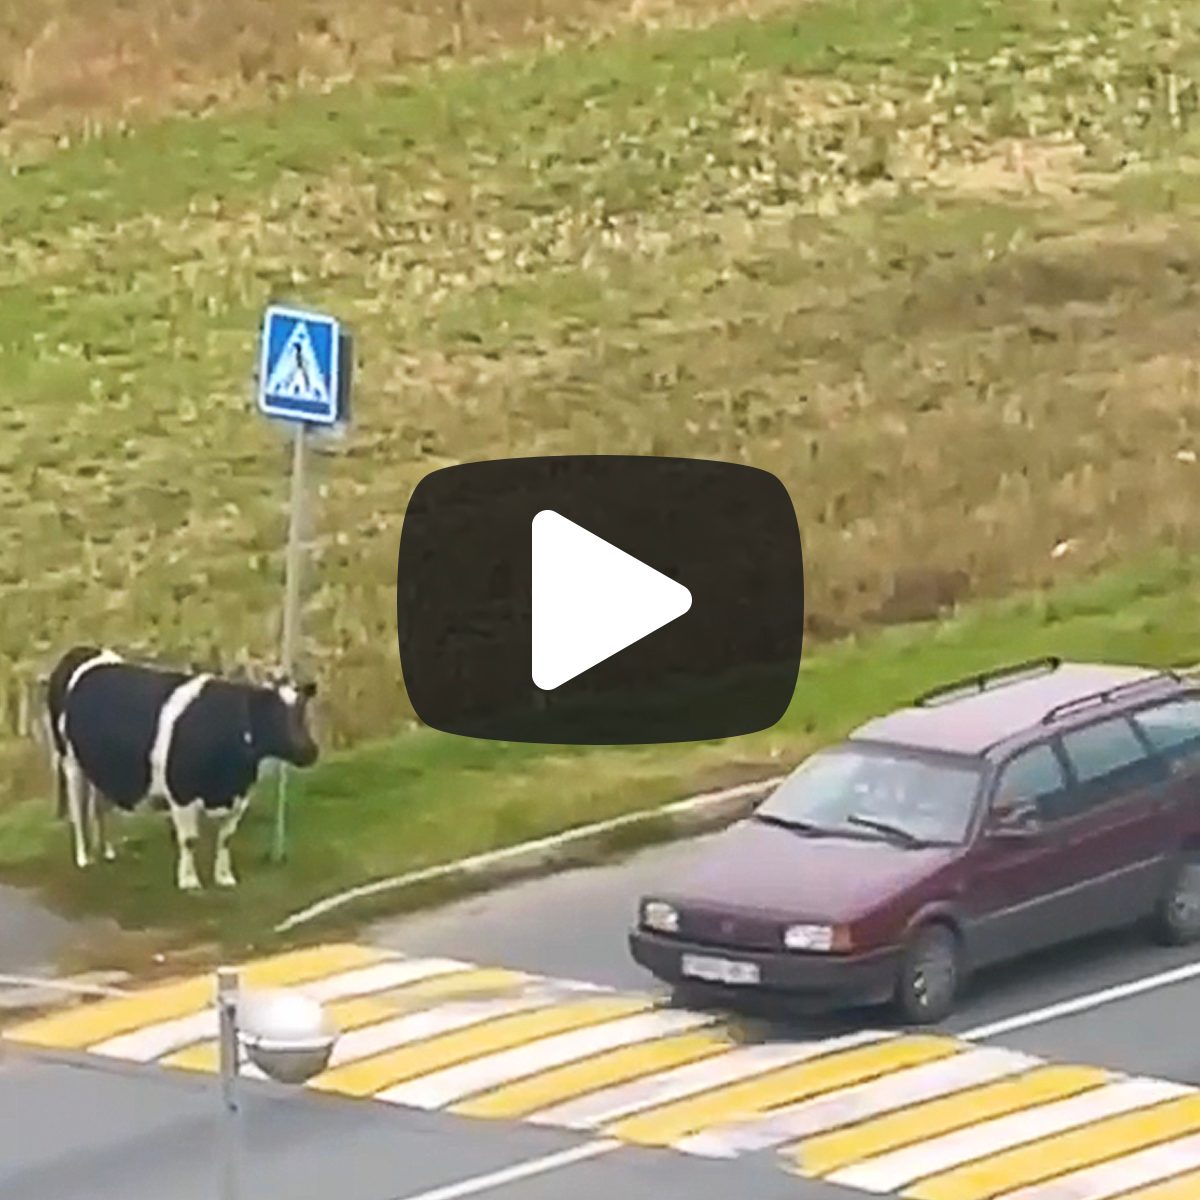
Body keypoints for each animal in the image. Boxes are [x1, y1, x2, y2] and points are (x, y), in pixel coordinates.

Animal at [45, 648, 319, 892]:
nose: (311, 751)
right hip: (69, 759)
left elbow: (226, 838)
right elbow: (189, 840)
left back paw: (108, 851)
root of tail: (78, 652)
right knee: (77, 809)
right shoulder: (181, 794)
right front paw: (189, 881)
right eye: (274, 716)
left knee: (99, 804)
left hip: (98, 765)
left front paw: (224, 876)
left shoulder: (240, 796)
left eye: (302, 712)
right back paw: (83, 857)